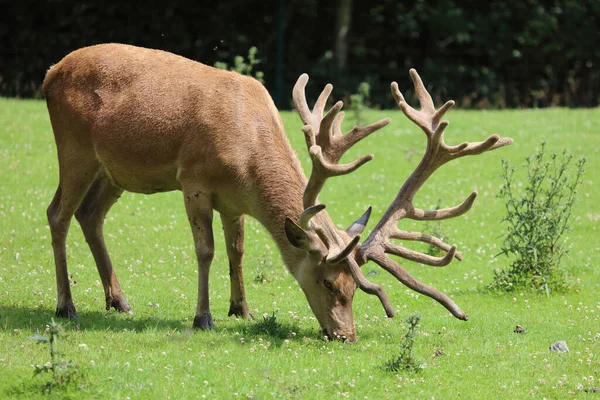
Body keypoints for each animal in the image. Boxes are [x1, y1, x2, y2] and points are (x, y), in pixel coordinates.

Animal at [43, 43, 510, 340]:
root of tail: (49, 73)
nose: (346, 336)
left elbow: (237, 250)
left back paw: (119, 301)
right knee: (57, 214)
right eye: (328, 284)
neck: (246, 162)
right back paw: (66, 305)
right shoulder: (193, 180)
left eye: (355, 288)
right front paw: (203, 317)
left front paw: (242, 309)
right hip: (74, 149)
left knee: (90, 215)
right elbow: (206, 250)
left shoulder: (232, 200)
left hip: (113, 171)